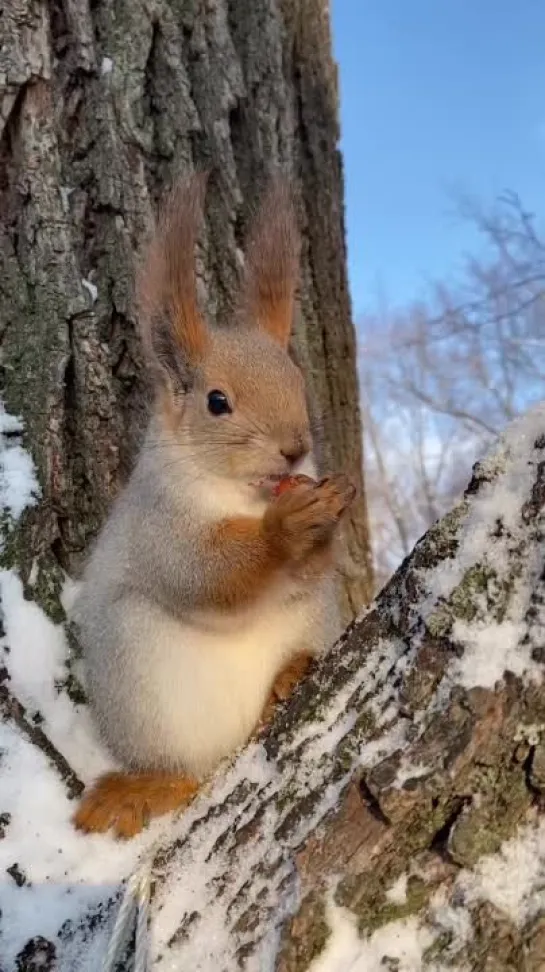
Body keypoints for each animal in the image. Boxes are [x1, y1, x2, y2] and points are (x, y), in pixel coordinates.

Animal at [70, 173, 354, 836]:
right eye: (217, 402)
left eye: (298, 383)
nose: (296, 450)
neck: (245, 498)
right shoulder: (160, 522)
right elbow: (205, 575)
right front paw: (284, 532)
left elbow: (310, 571)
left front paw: (327, 516)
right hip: (149, 684)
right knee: (187, 772)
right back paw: (159, 783)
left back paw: (288, 676)